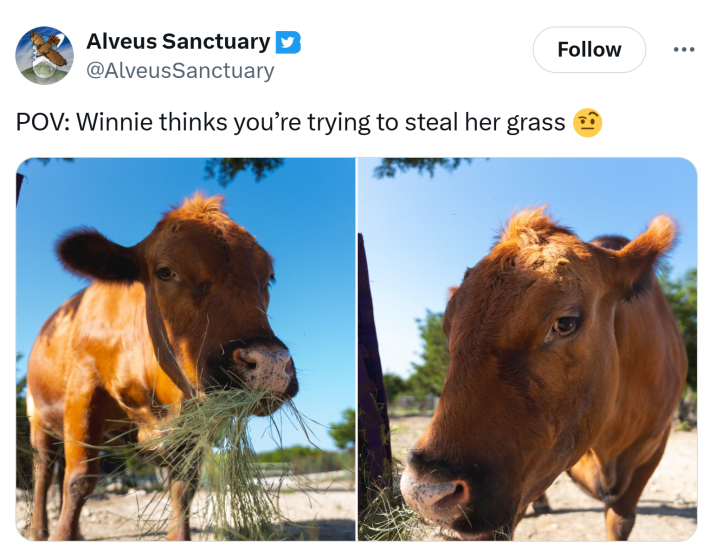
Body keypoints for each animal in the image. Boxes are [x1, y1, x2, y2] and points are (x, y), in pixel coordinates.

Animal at [26, 193, 298, 541]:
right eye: (165, 272)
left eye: (269, 277)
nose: (270, 364)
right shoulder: (84, 389)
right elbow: (80, 480)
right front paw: (60, 536)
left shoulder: (193, 424)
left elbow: (184, 487)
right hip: (39, 417)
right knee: (46, 471)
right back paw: (39, 530)